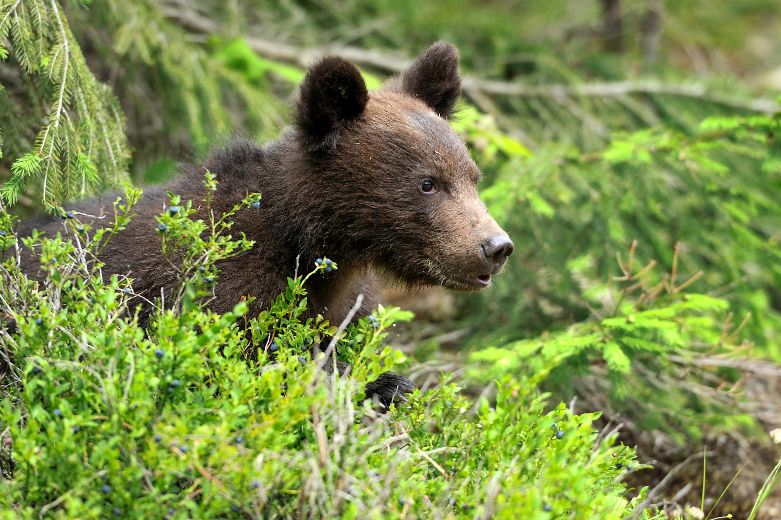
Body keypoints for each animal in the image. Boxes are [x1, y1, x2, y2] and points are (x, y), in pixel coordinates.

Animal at [16, 41, 512, 406]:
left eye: (472, 177)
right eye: (428, 183)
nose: (496, 246)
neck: (308, 239)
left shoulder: (346, 300)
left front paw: (391, 383)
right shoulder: (221, 285)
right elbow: (252, 352)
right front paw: (374, 384)